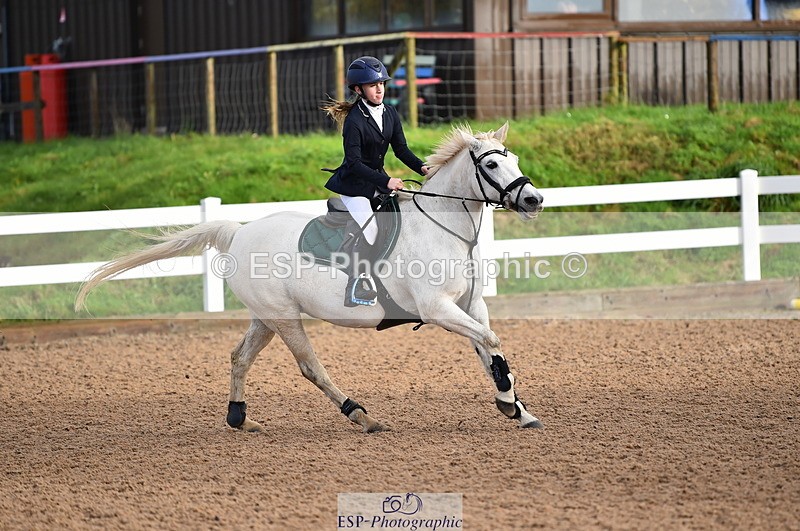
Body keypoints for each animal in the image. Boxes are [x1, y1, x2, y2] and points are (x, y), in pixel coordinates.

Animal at [75, 122, 545, 433]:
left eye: (516, 160)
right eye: (491, 165)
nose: (535, 200)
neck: (442, 228)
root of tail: (239, 232)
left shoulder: (468, 305)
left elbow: (488, 350)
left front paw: (516, 407)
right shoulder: (437, 309)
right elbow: (491, 343)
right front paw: (509, 403)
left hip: (265, 317)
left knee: (239, 357)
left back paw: (239, 418)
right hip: (285, 318)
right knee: (310, 367)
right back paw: (360, 415)